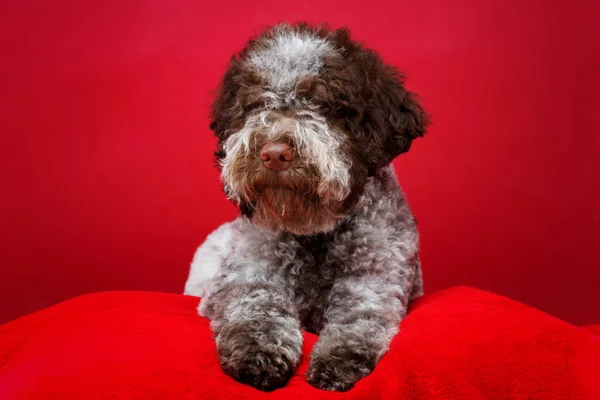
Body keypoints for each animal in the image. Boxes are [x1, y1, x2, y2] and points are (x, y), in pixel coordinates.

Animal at [185, 21, 428, 390]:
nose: (273, 153)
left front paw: (339, 360)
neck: (315, 234)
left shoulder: (374, 280)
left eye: (320, 102)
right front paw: (258, 354)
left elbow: (358, 321)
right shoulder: (245, 275)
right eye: (255, 104)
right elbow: (256, 309)